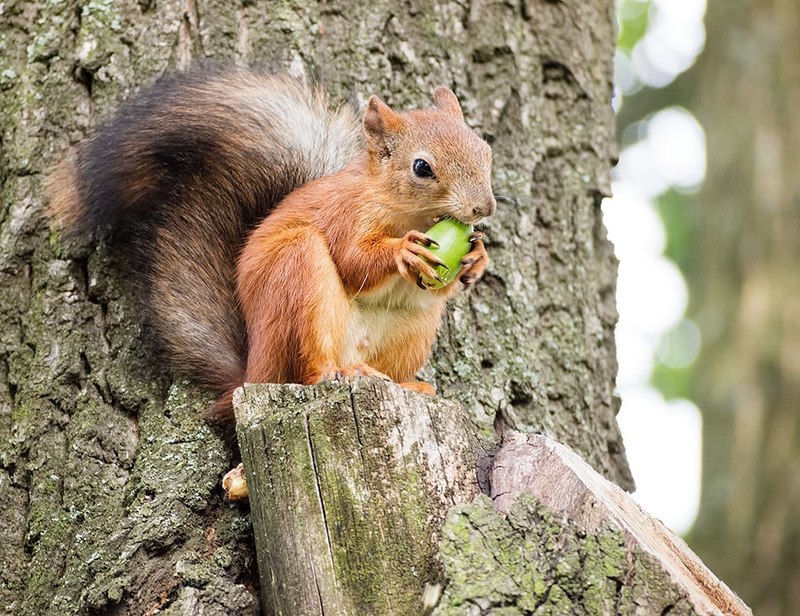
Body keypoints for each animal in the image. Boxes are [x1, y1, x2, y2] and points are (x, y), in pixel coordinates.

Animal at [48, 66, 494, 418]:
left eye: (486, 152)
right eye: (422, 167)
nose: (484, 207)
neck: (409, 215)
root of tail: (251, 376)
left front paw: (478, 258)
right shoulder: (344, 215)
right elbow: (353, 261)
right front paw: (403, 251)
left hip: (413, 328)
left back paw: (404, 384)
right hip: (297, 272)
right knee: (308, 370)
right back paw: (336, 372)